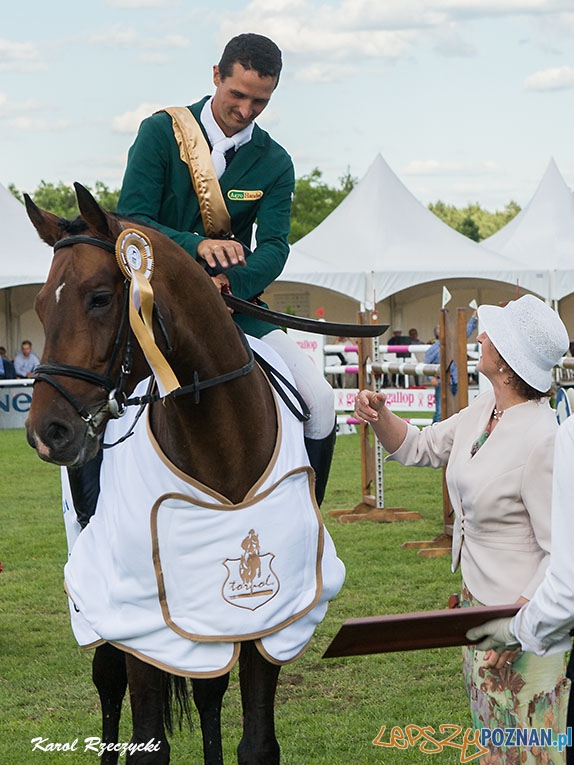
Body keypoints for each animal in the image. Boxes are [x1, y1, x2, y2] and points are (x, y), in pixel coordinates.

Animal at [23, 185, 342, 764]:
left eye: (100, 298)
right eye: (38, 305)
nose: (48, 432)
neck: (222, 445)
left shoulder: (276, 609)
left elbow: (256, 742)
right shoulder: (143, 613)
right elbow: (147, 735)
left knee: (207, 687)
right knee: (108, 677)